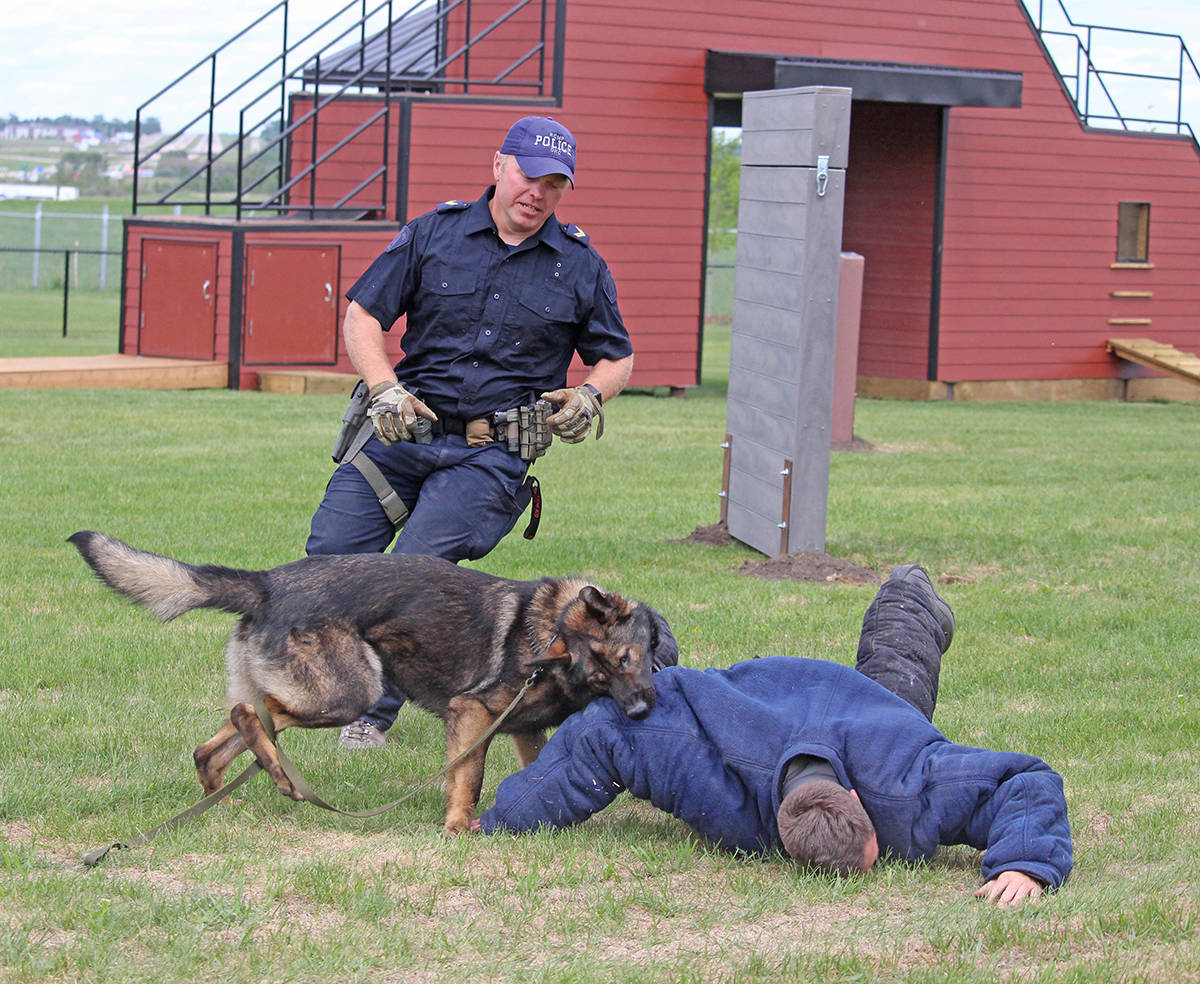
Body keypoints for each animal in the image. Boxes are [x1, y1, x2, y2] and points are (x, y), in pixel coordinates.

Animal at [70, 535, 672, 835]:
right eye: (611, 666)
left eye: (627, 662)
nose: (642, 712)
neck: (552, 633)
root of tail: (267, 583)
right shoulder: (473, 714)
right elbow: (468, 778)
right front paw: (458, 826)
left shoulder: (523, 730)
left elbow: (537, 768)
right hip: (349, 692)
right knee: (253, 715)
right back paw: (278, 775)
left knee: (216, 743)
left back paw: (228, 794)